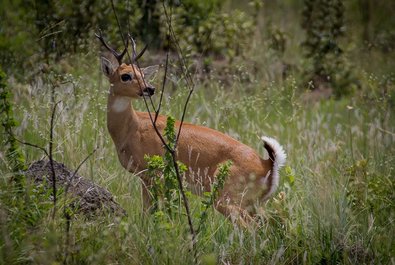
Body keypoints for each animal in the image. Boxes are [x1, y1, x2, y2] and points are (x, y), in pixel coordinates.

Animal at [97, 32, 286, 224]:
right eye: (125, 76)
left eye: (143, 74)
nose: (149, 88)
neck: (130, 129)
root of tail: (267, 164)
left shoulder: (151, 173)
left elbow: (148, 210)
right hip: (253, 202)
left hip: (227, 196)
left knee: (250, 225)